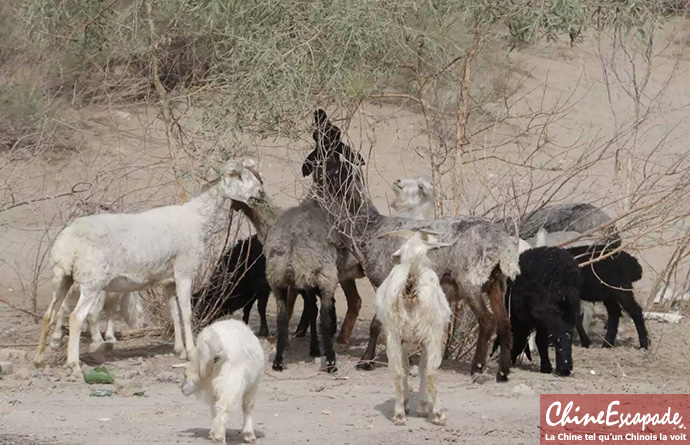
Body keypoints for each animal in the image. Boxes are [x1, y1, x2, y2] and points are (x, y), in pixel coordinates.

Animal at [32, 160, 264, 372]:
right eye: (236, 175)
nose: (261, 192)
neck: (197, 218)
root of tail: (66, 245)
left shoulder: (169, 280)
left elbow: (174, 313)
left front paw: (179, 349)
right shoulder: (184, 271)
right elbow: (187, 313)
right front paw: (191, 351)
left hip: (62, 277)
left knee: (49, 314)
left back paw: (39, 359)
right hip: (92, 281)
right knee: (76, 317)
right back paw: (73, 363)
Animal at [374, 227, 448, 424]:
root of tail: (411, 282)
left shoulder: (404, 340)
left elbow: (407, 368)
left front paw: (407, 404)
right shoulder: (424, 339)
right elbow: (421, 369)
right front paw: (421, 406)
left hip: (393, 333)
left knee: (396, 371)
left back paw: (399, 414)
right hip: (432, 332)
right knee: (431, 371)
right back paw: (438, 414)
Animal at [502, 246, 584, 374]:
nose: (511, 359)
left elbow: (540, 341)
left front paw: (546, 367)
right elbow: (542, 340)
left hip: (547, 308)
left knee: (559, 332)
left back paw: (563, 367)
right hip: (570, 307)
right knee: (567, 332)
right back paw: (567, 365)